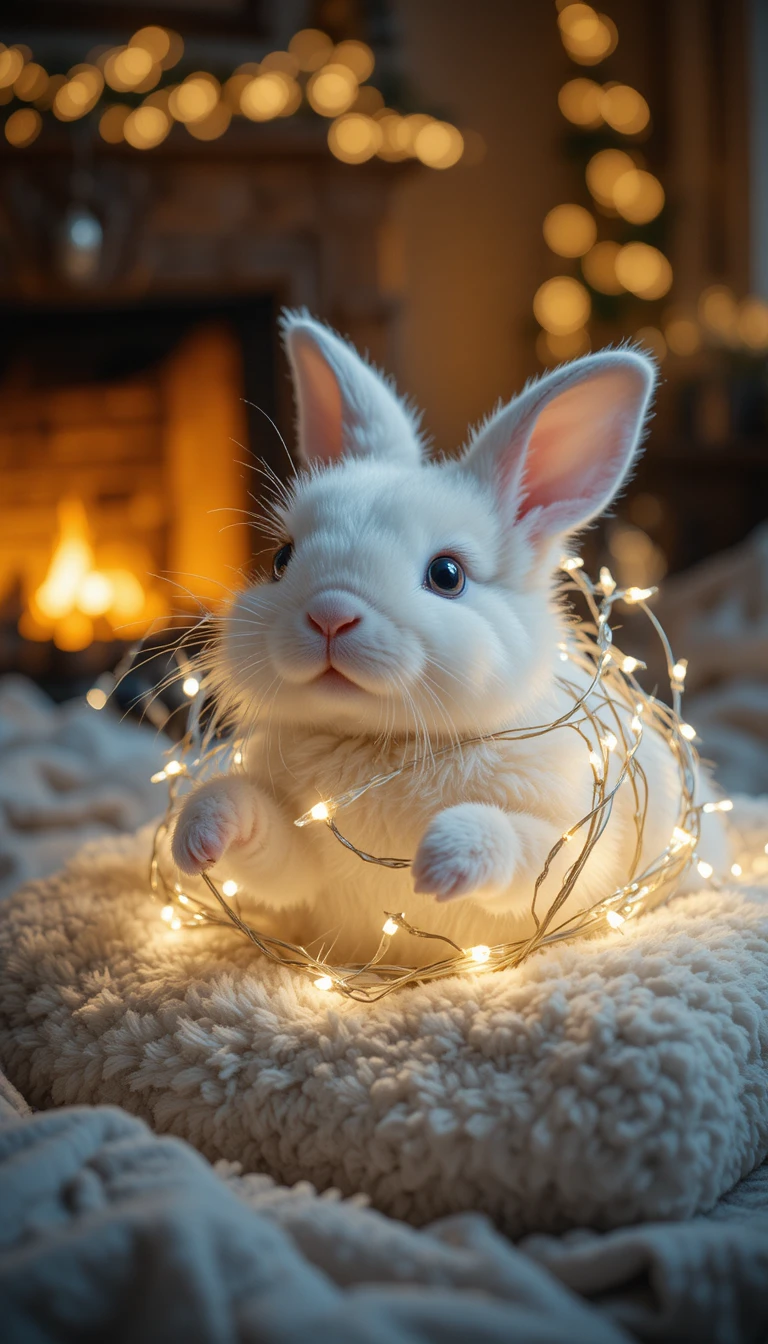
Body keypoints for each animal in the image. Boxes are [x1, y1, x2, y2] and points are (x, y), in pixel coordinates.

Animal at [170, 311, 729, 965]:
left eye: (447, 575)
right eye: (283, 560)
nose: (330, 614)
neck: (384, 745)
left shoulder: (575, 841)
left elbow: (522, 848)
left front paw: (442, 860)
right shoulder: (302, 854)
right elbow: (264, 842)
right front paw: (198, 836)